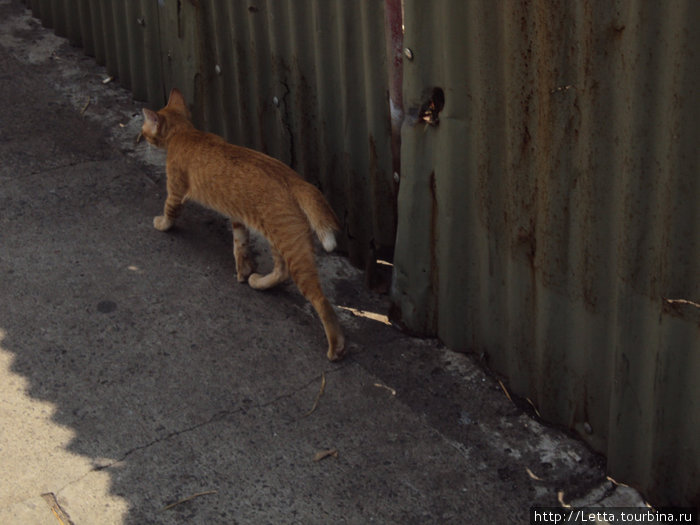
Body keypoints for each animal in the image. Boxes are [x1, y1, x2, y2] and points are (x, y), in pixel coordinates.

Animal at [143, 88, 348, 362]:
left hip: (291, 247)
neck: (185, 133)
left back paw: (335, 348)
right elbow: (240, 244)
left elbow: (169, 211)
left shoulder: (175, 191)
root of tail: (296, 180)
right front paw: (243, 271)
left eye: (145, 130)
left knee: (320, 299)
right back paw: (258, 282)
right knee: (282, 272)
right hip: (278, 237)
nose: (140, 137)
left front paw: (161, 223)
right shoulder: (238, 217)